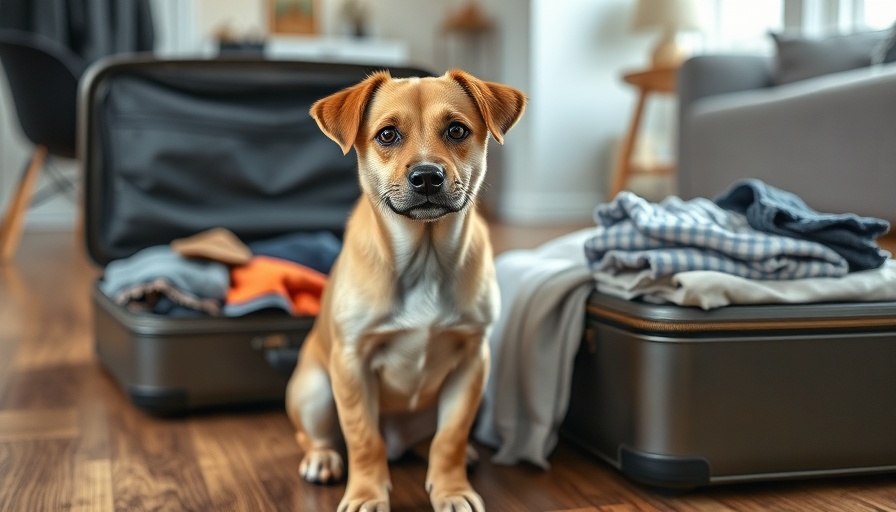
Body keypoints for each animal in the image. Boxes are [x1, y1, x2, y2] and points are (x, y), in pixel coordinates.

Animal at [286, 69, 524, 512]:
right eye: (387, 135)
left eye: (456, 130)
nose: (428, 176)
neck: (424, 259)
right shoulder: (352, 363)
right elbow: (363, 439)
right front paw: (366, 494)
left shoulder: (472, 361)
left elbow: (450, 437)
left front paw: (452, 489)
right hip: (315, 392)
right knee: (315, 436)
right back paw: (322, 458)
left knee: (430, 441)